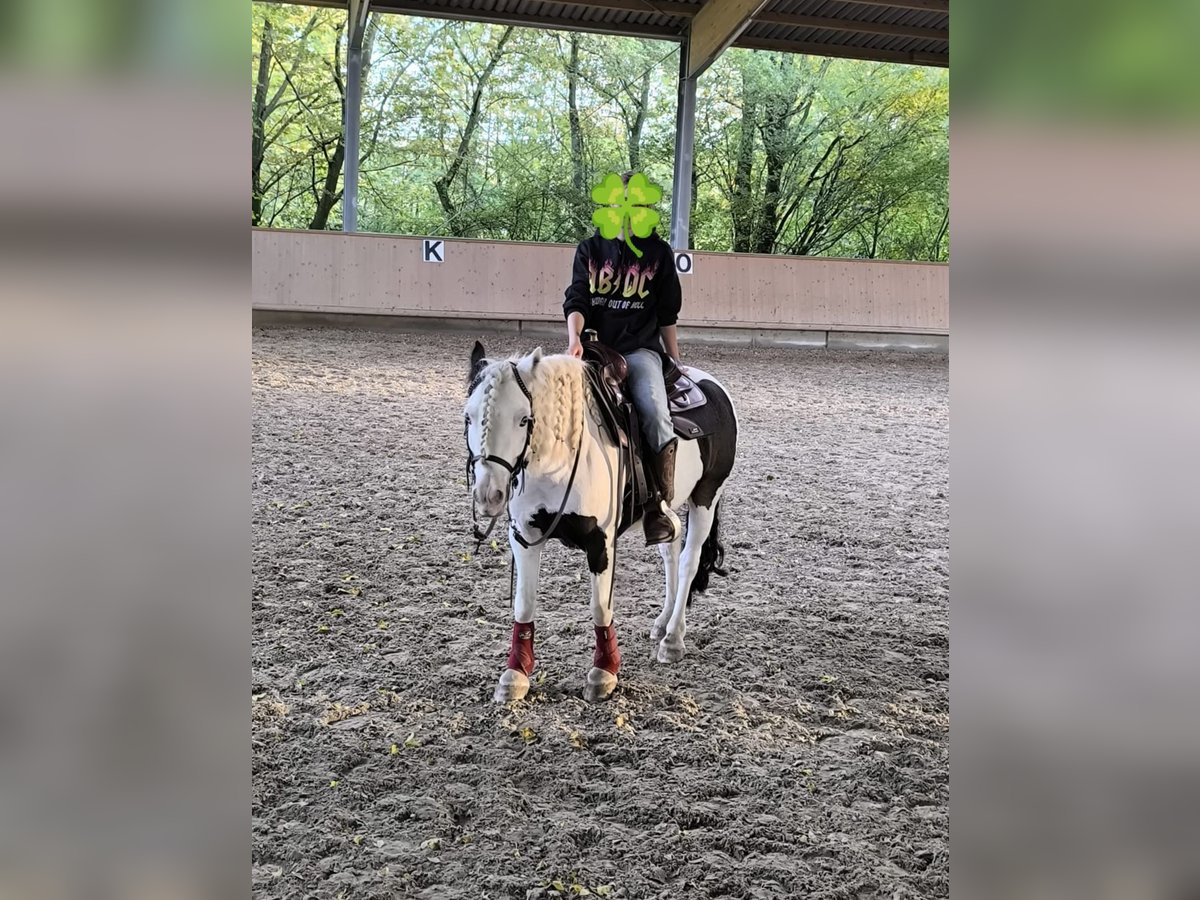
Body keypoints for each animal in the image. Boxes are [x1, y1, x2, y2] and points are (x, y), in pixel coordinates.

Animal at [463, 343, 734, 705]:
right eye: (468, 416)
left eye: (523, 419)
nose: (489, 493)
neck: (558, 463)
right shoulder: (524, 536)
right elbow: (524, 603)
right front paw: (515, 674)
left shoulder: (600, 542)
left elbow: (600, 607)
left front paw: (604, 672)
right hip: (669, 509)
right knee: (670, 550)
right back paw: (662, 622)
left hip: (706, 496)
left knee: (689, 562)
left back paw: (673, 639)